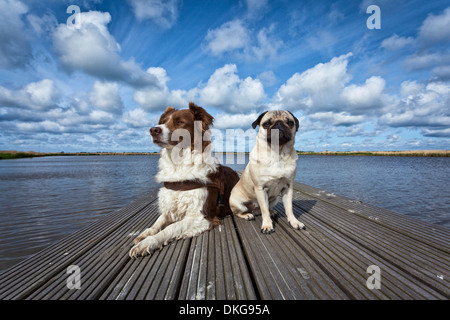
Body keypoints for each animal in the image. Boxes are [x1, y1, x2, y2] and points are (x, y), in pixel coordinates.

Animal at [129, 102, 239, 258]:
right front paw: (146, 233)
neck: (179, 166)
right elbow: (159, 221)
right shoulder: (169, 205)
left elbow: (172, 227)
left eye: (180, 122)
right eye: (162, 121)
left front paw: (148, 242)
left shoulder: (202, 217)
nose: (153, 130)